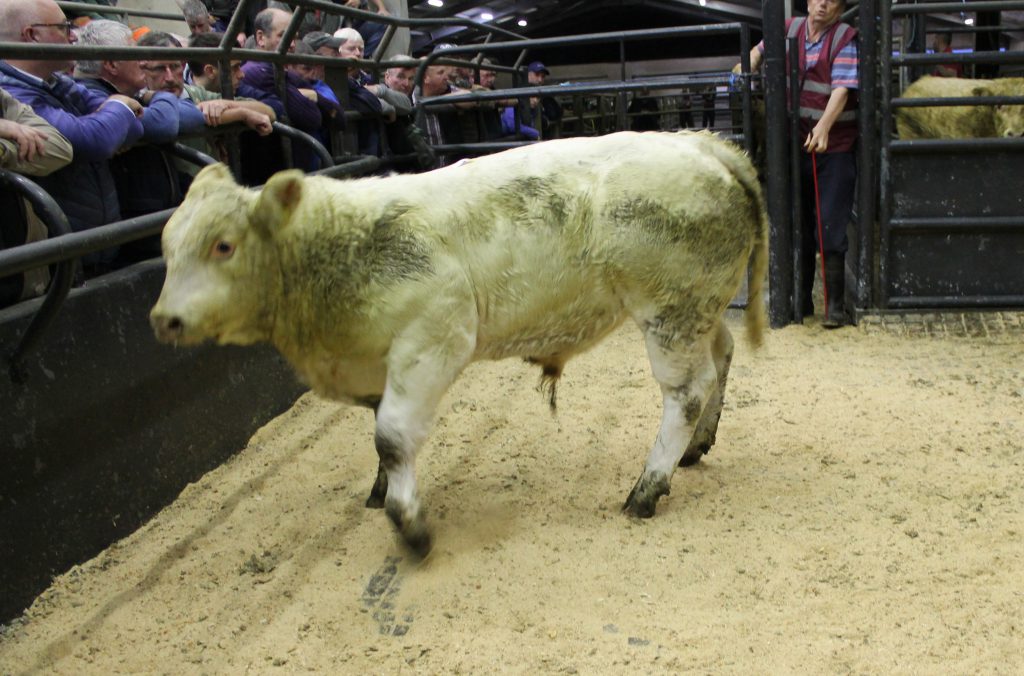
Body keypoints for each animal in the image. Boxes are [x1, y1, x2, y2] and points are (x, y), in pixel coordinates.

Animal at [150, 130, 768, 557]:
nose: (164, 319)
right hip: (700, 309)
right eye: (166, 245)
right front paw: (381, 490)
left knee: (685, 393)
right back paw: (695, 449)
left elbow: (392, 435)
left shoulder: (435, 335)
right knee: (722, 356)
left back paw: (646, 489)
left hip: (668, 312)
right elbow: (383, 436)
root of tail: (701, 143)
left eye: (223, 245)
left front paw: (408, 523)